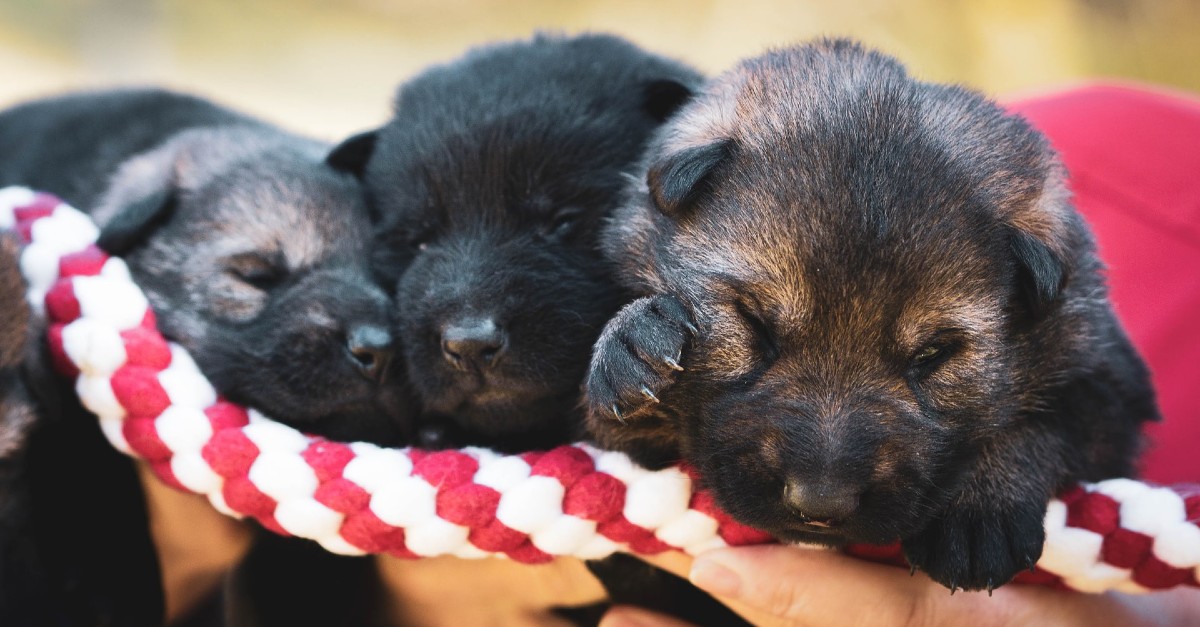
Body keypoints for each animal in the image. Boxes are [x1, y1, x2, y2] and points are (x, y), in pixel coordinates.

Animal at [585, 40, 1156, 590]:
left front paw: (980, 512)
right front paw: (636, 346)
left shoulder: (1106, 386)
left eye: (932, 354)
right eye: (755, 325)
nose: (818, 505)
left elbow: (1047, 421)